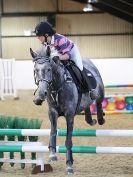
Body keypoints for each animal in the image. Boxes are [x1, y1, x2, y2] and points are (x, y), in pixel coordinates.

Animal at [29, 47, 105, 175]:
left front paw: (69, 165)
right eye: (35, 70)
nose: (41, 94)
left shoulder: (69, 115)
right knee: (87, 105)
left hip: (100, 91)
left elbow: (68, 140)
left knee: (98, 101)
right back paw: (90, 120)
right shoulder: (52, 112)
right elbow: (53, 132)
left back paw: (100, 119)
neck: (57, 86)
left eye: (49, 69)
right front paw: (52, 155)